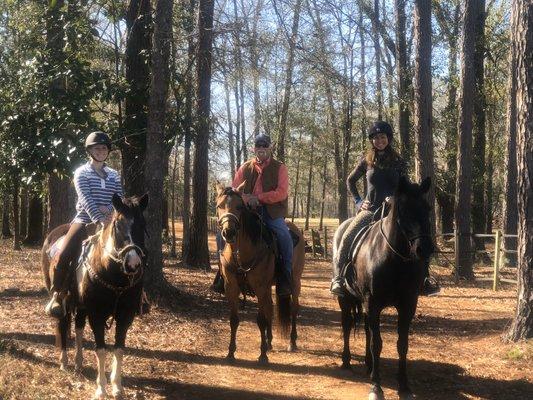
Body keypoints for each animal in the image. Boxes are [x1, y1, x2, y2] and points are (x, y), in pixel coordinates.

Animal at [41, 193, 148, 396]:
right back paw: (64, 362)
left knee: (78, 328)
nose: (132, 263)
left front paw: (117, 387)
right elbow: (101, 349)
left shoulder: (125, 315)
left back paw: (78, 364)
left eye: (142, 224)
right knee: (62, 323)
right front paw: (101, 389)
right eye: (117, 225)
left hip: (82, 306)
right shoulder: (97, 315)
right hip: (63, 299)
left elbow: (119, 349)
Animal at [216, 183, 306, 364]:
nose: (229, 232)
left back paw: (292, 342)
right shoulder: (232, 288)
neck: (241, 254)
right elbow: (234, 320)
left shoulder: (260, 288)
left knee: (293, 308)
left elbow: (261, 320)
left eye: (240, 206)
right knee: (270, 307)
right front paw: (231, 352)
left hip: (295, 282)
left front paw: (262, 354)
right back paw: (269, 341)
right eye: (219, 206)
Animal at [334, 178, 434, 400]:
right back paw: (346, 361)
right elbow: (377, 344)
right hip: (346, 299)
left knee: (366, 329)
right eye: (404, 210)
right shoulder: (373, 303)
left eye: (428, 208)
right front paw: (376, 387)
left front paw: (404, 387)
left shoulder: (407, 306)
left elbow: (401, 345)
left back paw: (369, 364)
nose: (425, 249)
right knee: (347, 325)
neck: (394, 259)